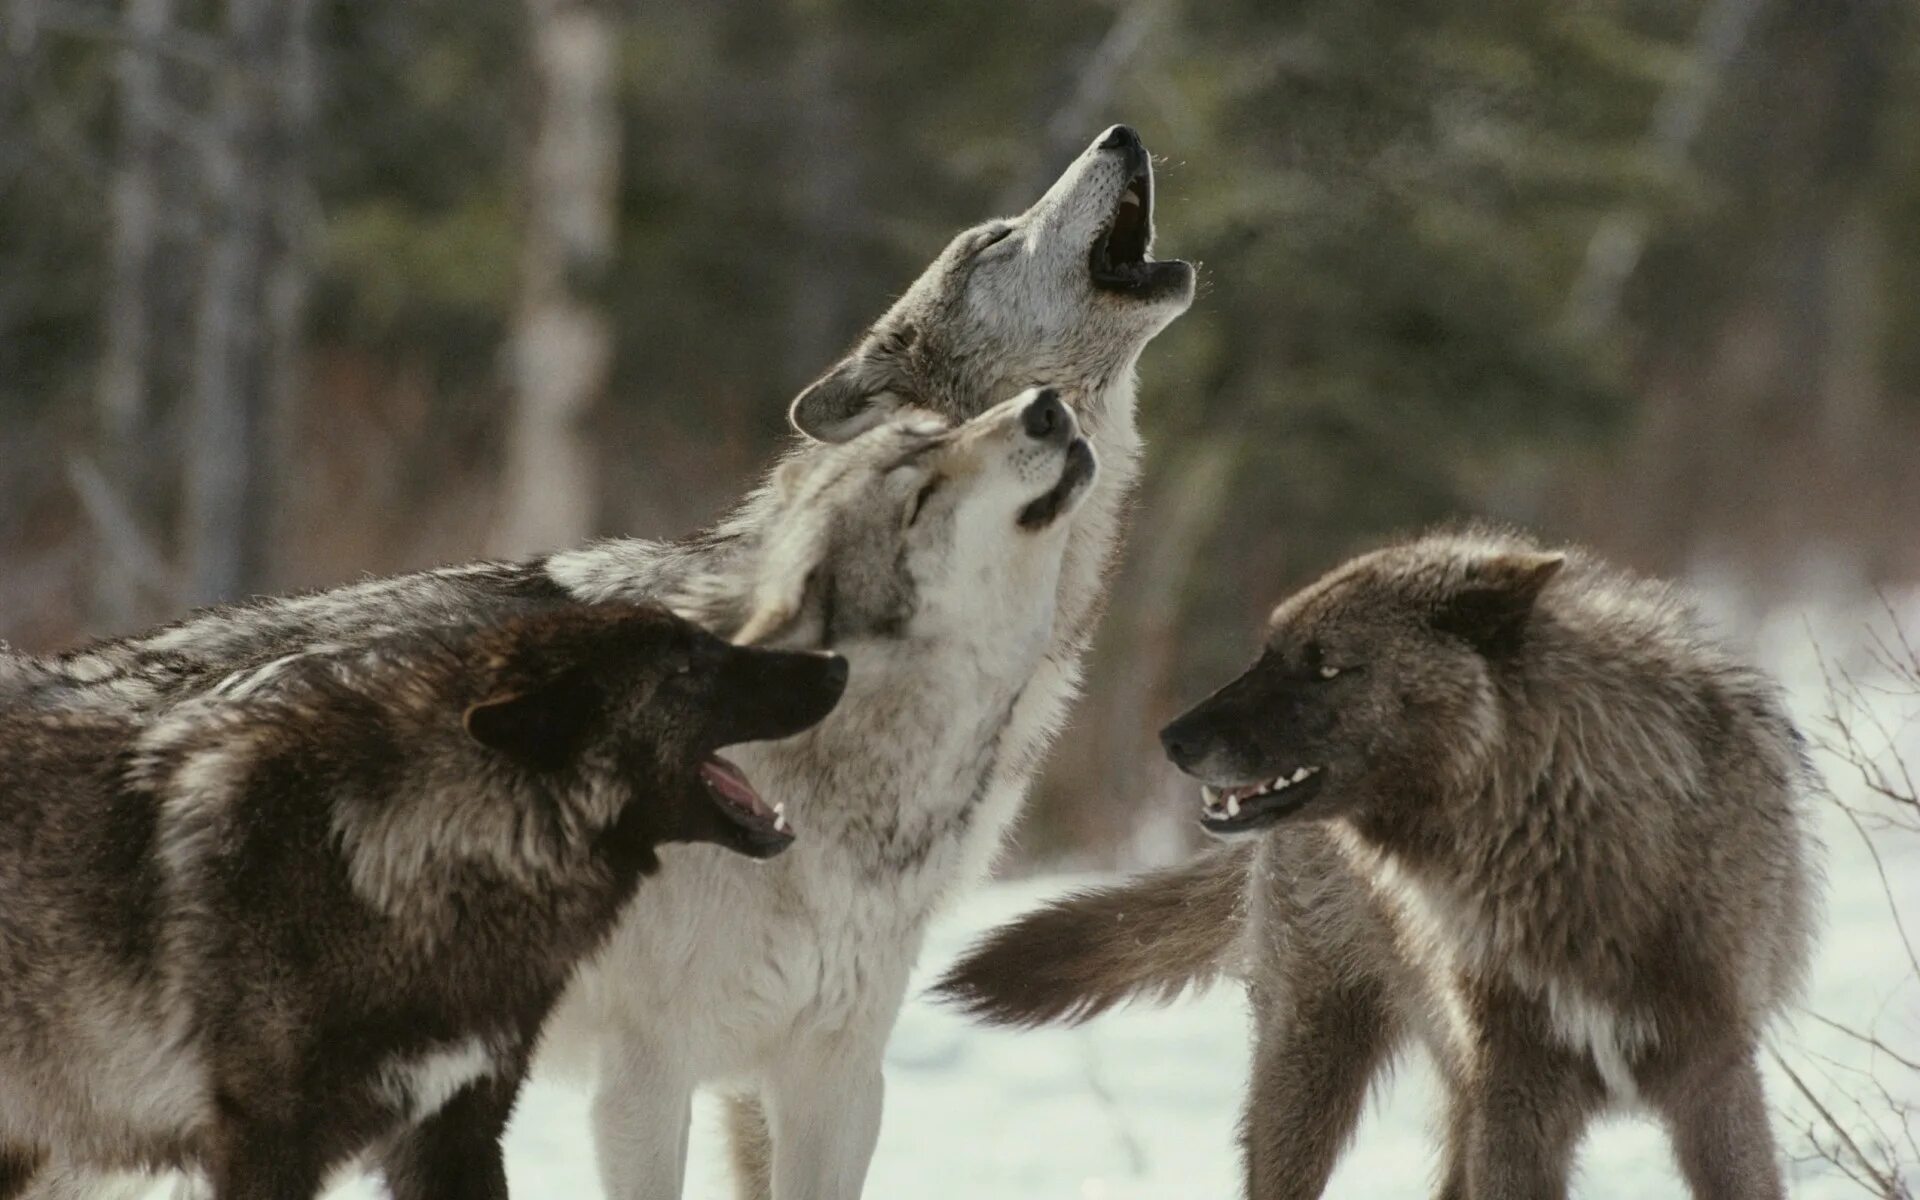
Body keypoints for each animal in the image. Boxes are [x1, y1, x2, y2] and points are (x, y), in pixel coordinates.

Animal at [936, 529, 1820, 1198]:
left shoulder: (1714, 1078)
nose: (1172, 739)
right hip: (1312, 1069)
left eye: (1326, 664)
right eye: (1268, 652)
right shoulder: (1518, 1097)